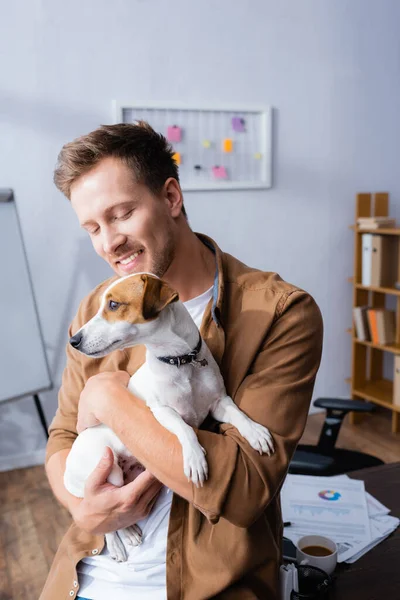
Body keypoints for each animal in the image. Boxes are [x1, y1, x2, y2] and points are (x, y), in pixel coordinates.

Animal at [64, 274, 276, 564]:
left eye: (114, 304)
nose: (73, 340)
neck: (181, 361)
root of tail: (68, 470)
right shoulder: (162, 411)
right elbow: (184, 428)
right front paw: (195, 458)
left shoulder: (219, 402)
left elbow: (238, 415)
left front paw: (255, 432)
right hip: (108, 471)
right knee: (107, 519)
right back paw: (120, 542)